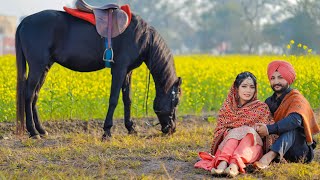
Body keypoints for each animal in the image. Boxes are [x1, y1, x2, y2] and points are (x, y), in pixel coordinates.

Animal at [16, 9, 181, 139]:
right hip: (37, 66)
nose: (172, 129)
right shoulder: (119, 69)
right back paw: (33, 132)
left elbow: (127, 100)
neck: (141, 36)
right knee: (29, 95)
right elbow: (114, 99)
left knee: (35, 95)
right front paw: (107, 131)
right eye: (176, 101)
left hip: (44, 67)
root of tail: (24, 21)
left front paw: (131, 128)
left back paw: (41, 130)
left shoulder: (128, 71)